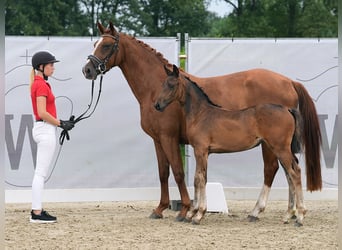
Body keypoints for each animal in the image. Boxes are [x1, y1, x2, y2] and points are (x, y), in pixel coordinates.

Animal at [155, 65, 304, 227]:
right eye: (162, 84)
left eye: (172, 85)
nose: (157, 105)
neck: (201, 114)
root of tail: (287, 109)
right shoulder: (202, 152)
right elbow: (197, 179)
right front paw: (191, 213)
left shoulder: (201, 151)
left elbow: (200, 179)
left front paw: (198, 214)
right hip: (280, 149)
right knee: (289, 173)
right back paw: (288, 215)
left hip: (280, 148)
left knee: (295, 172)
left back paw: (300, 216)